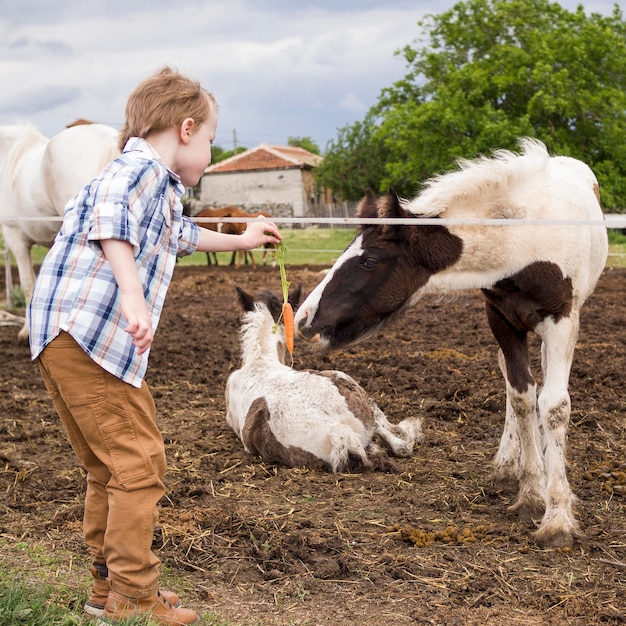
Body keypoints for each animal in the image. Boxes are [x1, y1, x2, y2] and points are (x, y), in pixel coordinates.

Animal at [294, 138, 608, 544]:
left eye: (369, 261)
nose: (303, 319)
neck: (522, 236)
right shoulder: (501, 319)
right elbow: (522, 396)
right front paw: (530, 492)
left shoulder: (562, 320)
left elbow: (554, 406)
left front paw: (557, 516)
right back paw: (509, 464)